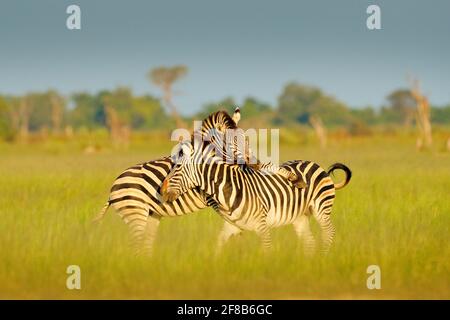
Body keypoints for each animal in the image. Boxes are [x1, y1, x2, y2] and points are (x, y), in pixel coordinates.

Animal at [160, 134, 354, 254]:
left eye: (177, 167)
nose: (162, 192)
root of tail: (317, 166)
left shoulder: (262, 225)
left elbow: (266, 250)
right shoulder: (232, 226)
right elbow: (218, 245)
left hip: (321, 209)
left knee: (329, 232)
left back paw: (323, 257)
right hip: (300, 216)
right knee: (309, 241)